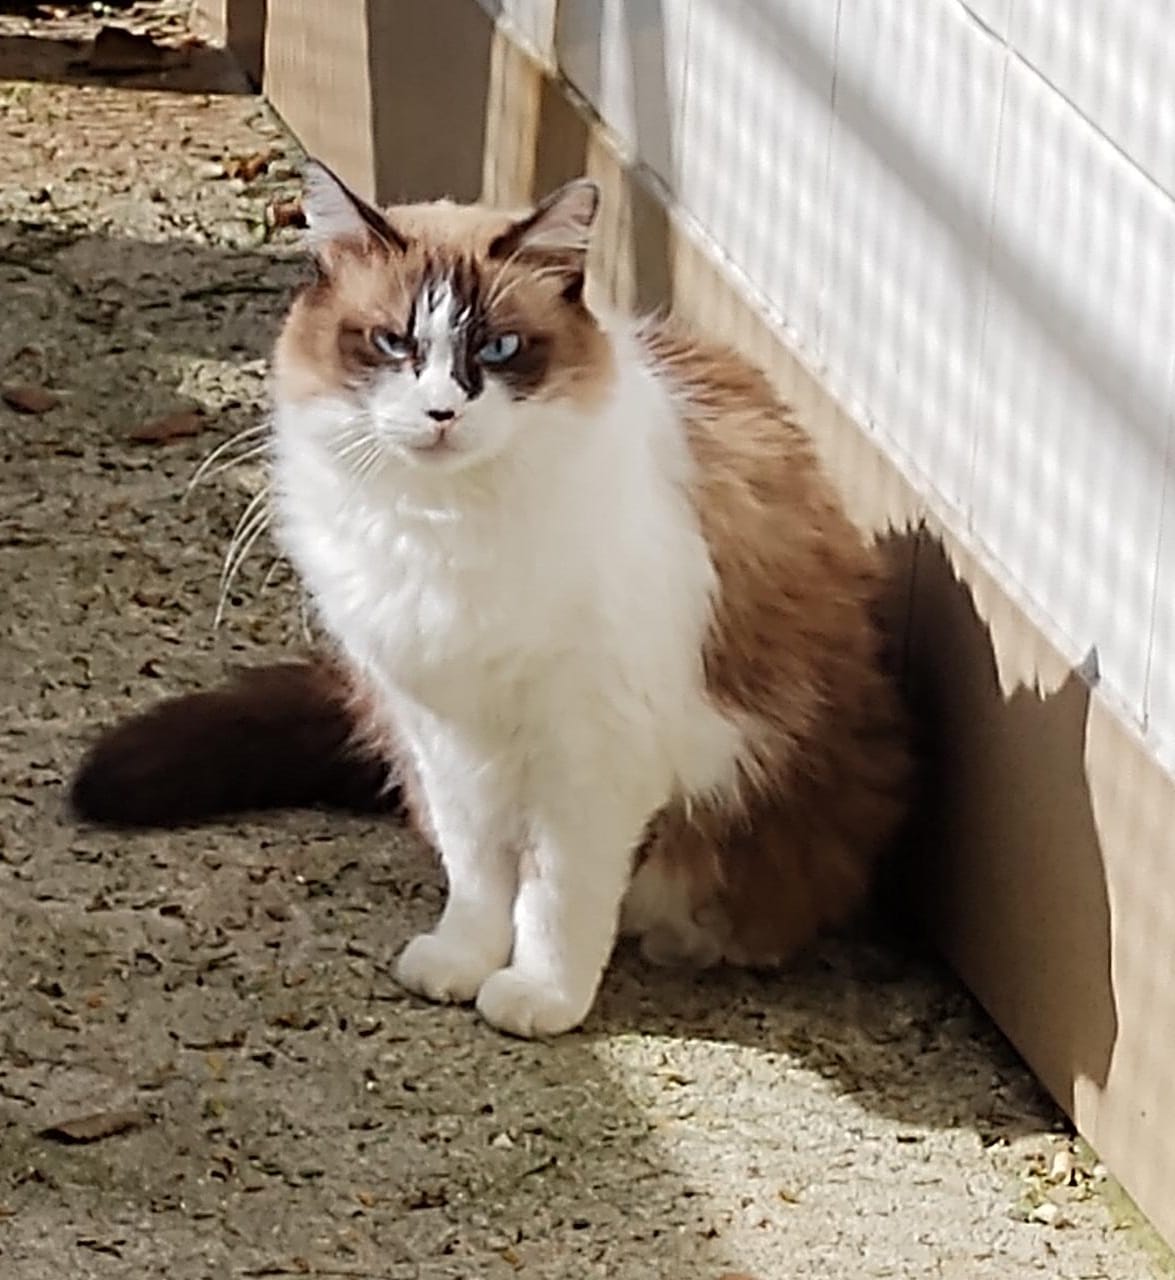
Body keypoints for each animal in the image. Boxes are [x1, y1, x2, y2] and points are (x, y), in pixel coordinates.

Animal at [73, 160, 916, 1039]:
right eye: (393, 342)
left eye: (499, 347)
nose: (442, 411)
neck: (446, 527)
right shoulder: (448, 734)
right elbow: (478, 872)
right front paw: (462, 961)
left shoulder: (591, 750)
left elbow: (556, 897)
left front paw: (539, 995)